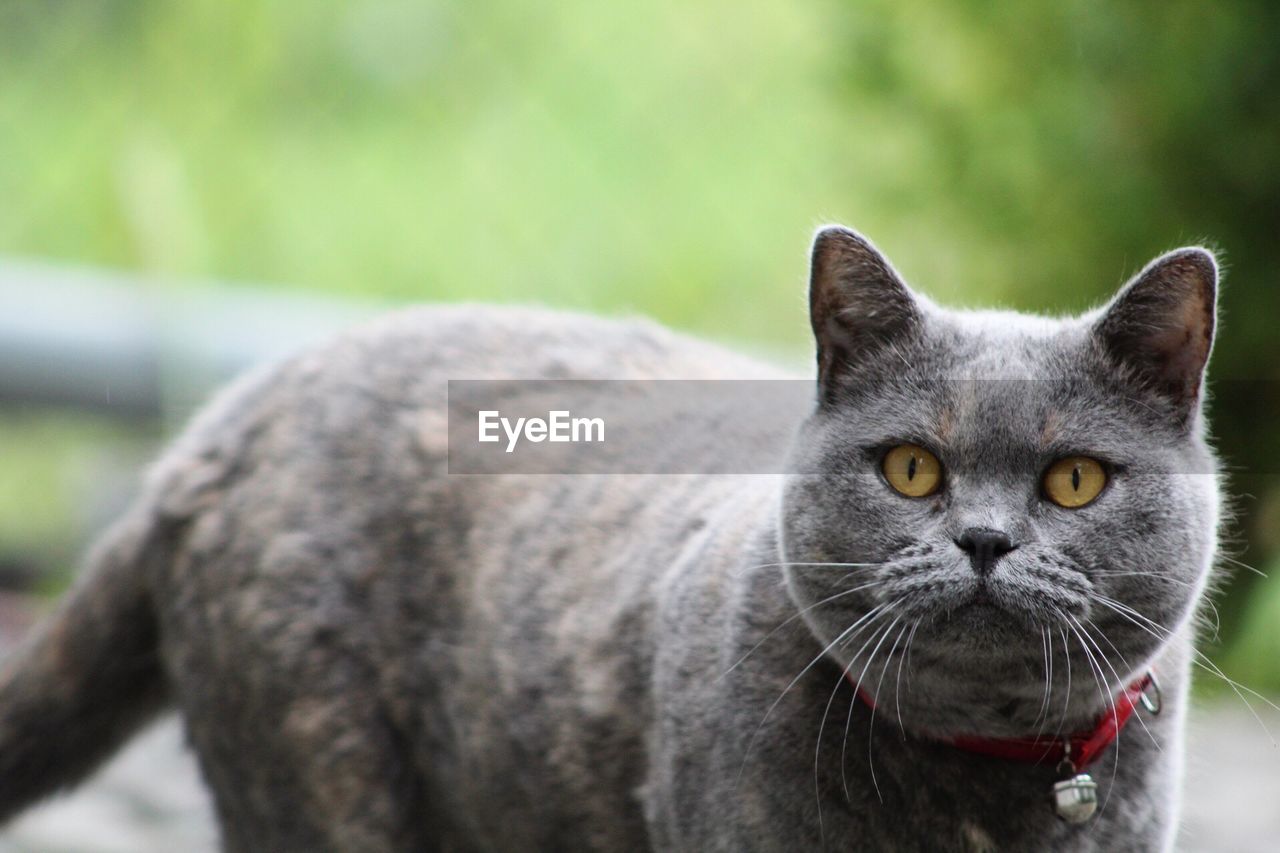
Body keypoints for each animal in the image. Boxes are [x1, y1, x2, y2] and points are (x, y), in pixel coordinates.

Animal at [0, 224, 1218, 845]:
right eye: (911, 466)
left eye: (1072, 479)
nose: (982, 539)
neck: (983, 787)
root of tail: (206, 433)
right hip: (319, 770)